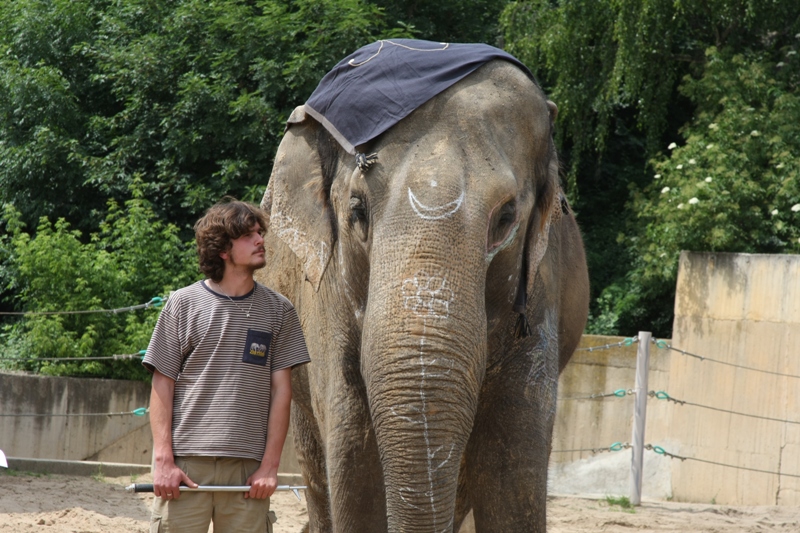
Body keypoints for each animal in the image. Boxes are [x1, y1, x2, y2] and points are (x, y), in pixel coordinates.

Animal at [256, 41, 588, 532]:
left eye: (507, 217)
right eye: (357, 210)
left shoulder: (540, 295)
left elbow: (513, 469)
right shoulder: (326, 301)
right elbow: (354, 461)